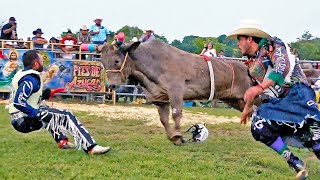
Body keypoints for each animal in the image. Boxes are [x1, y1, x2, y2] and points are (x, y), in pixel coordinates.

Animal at [101, 39, 254, 145]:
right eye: (103, 62)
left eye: (117, 60)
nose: (112, 85)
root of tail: (247, 69)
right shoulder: (160, 98)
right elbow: (163, 119)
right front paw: (174, 137)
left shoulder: (176, 90)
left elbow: (176, 114)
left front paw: (178, 136)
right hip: (235, 100)